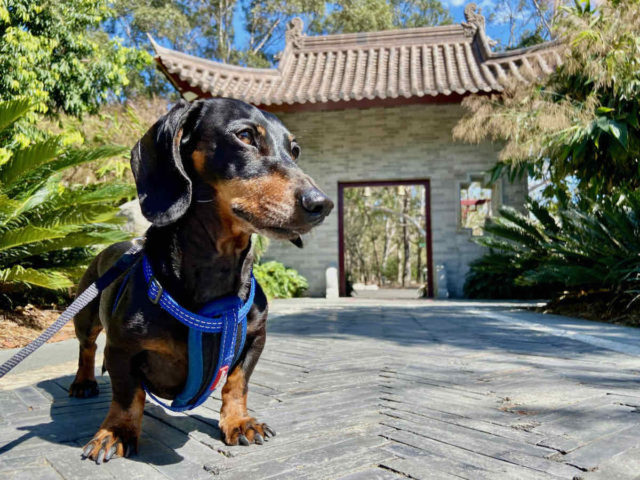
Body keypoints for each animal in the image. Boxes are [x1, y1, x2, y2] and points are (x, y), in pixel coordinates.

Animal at [68, 97, 332, 462]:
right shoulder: (122, 348)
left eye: (294, 150)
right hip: (86, 317)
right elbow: (127, 395)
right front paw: (116, 432)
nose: (321, 204)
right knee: (87, 348)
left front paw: (239, 422)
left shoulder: (256, 337)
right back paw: (83, 382)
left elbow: (237, 383)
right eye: (245, 136)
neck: (216, 268)